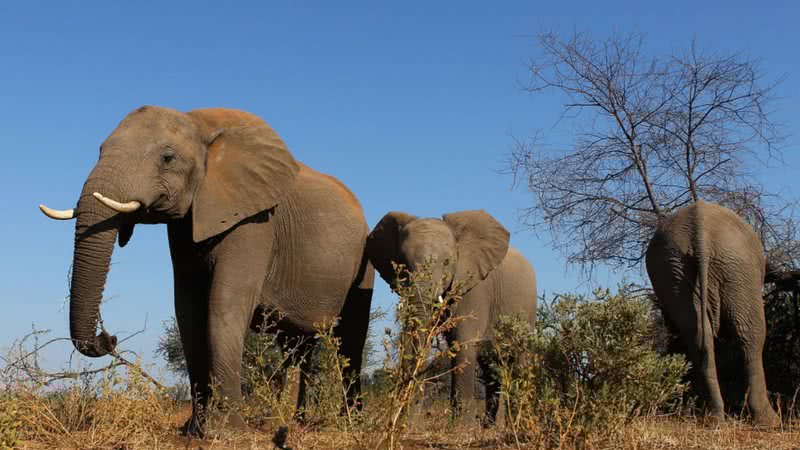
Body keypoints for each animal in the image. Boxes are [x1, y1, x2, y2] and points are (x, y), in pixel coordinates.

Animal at [39, 106, 374, 436]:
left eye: (168, 158)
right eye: (99, 150)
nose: (108, 338)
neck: (199, 123)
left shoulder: (254, 221)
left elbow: (224, 305)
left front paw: (227, 433)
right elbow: (188, 310)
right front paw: (193, 431)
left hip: (363, 262)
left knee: (350, 341)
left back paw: (348, 425)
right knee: (298, 346)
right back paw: (289, 422)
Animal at [368, 209, 536, 424]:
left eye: (447, 263)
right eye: (402, 264)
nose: (406, 419)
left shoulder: (475, 289)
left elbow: (463, 343)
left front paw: (462, 427)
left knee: (519, 357)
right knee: (489, 365)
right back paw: (489, 426)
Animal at [648, 200, 780, 426]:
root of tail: (700, 231)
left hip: (673, 269)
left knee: (698, 334)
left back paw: (714, 418)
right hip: (738, 267)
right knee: (751, 333)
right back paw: (769, 421)